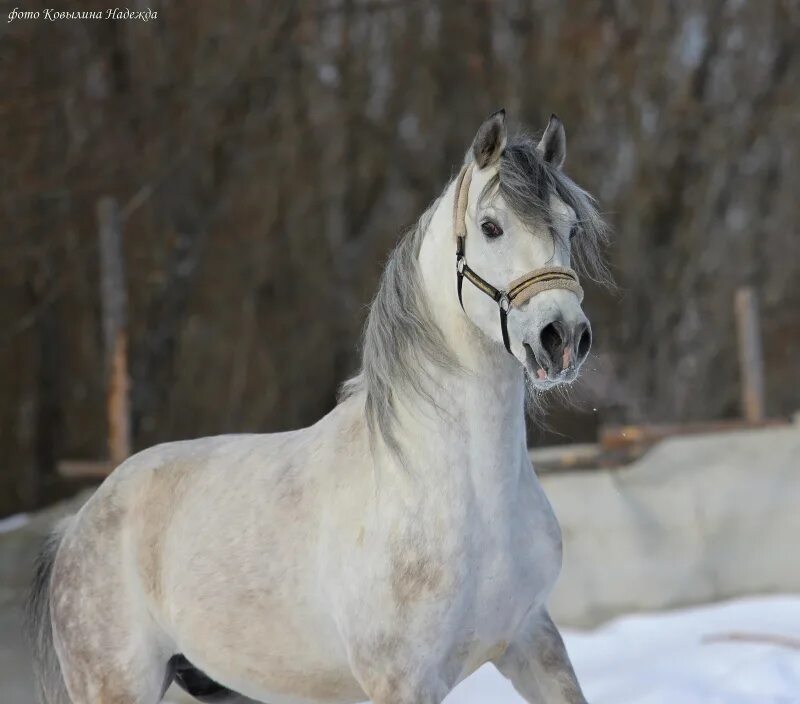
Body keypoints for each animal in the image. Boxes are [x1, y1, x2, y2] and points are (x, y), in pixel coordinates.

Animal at [28, 111, 608, 704]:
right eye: (491, 226)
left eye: (571, 229)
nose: (563, 337)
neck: (459, 493)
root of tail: (75, 525)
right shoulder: (402, 682)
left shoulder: (532, 640)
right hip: (120, 686)